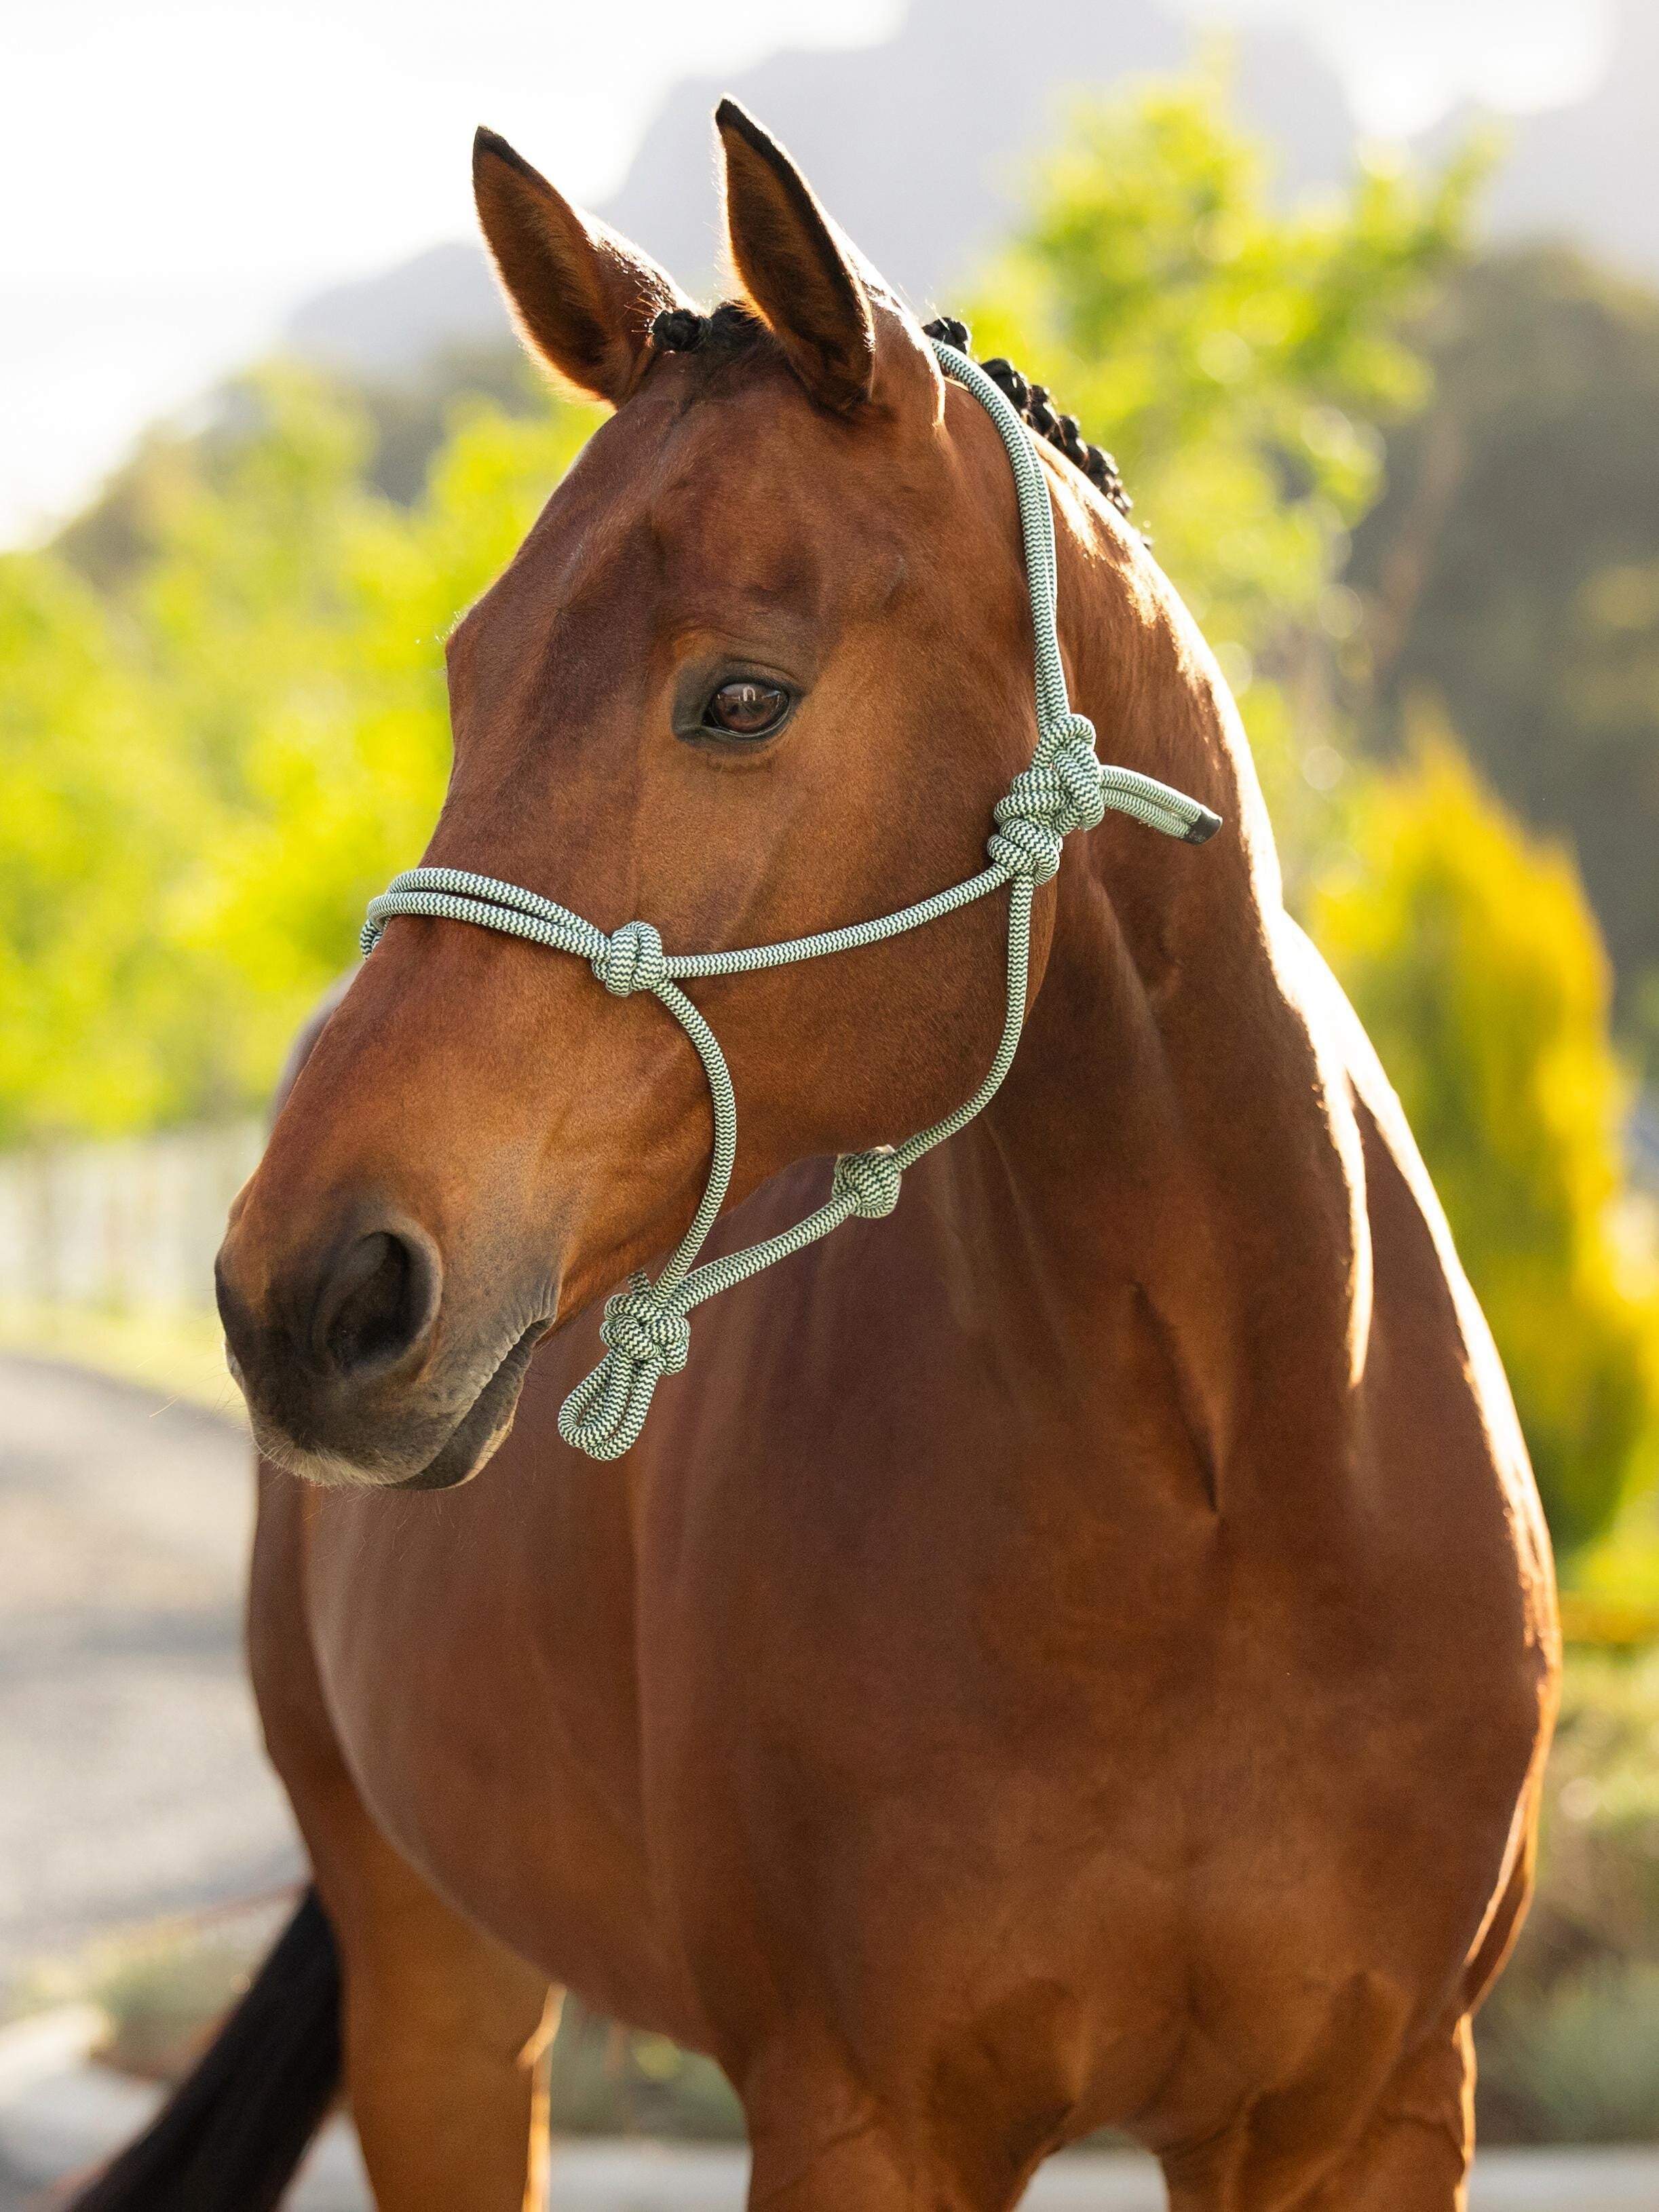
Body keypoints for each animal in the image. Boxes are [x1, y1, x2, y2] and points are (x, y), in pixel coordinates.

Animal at [79, 99, 1557, 2212]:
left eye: (740, 694)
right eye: (464, 671)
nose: (311, 1286)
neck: (1221, 1487)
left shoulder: (1364, 2114)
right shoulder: (861, 2111)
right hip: (440, 1989)